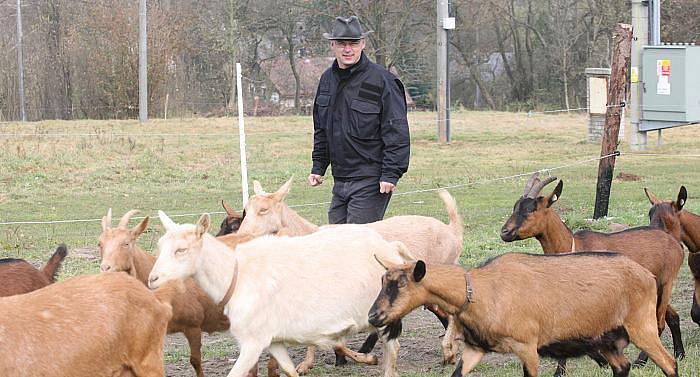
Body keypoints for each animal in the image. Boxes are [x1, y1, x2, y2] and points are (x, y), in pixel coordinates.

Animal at [147, 210, 410, 376]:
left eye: (181, 250)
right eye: (160, 246)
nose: (152, 279)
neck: (237, 275)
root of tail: (389, 247)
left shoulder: (252, 342)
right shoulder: (273, 341)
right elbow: (290, 371)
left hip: (384, 314)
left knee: (393, 350)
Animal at [370, 253, 680, 376]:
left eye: (400, 285)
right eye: (382, 281)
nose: (374, 317)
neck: (482, 290)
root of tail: (648, 275)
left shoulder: (528, 347)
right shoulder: (475, 348)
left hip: (641, 326)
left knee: (669, 363)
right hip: (606, 339)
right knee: (622, 367)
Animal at [500, 173, 688, 374]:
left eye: (531, 209)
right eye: (515, 206)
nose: (504, 232)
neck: (572, 244)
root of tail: (672, 238)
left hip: (665, 284)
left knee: (659, 323)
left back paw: (642, 360)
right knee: (671, 316)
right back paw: (679, 353)